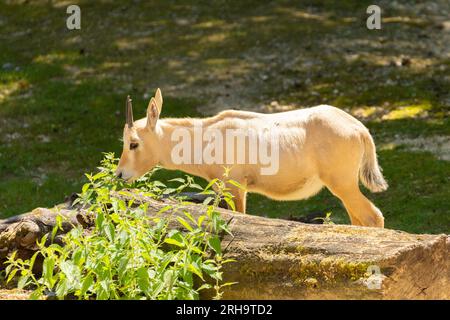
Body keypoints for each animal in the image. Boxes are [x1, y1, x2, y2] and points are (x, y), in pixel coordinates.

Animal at [116, 89, 386, 226]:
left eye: (134, 143)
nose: (119, 175)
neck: (206, 135)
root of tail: (359, 129)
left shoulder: (236, 187)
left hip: (342, 183)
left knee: (372, 217)